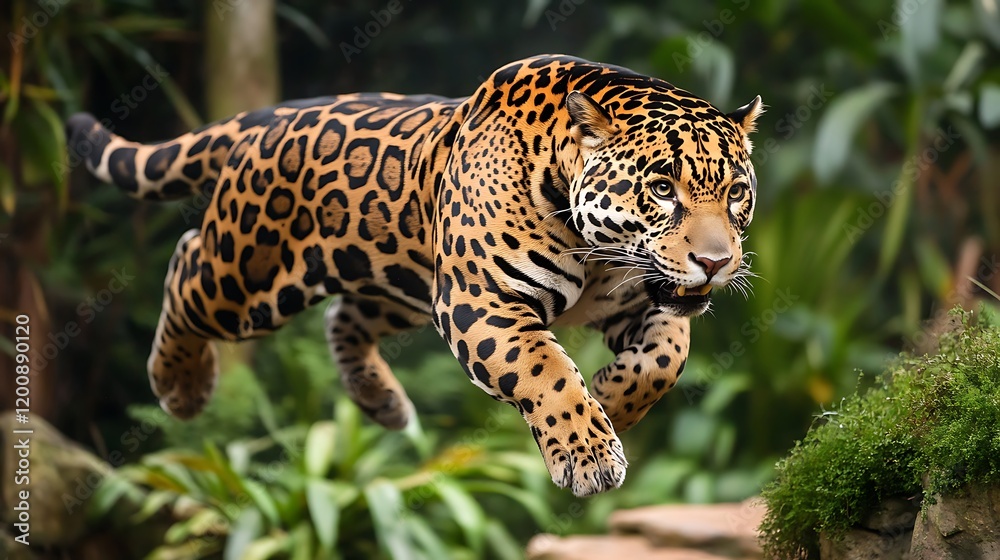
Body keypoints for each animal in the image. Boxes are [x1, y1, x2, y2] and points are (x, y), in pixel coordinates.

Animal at [66, 54, 762, 497]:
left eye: (735, 193)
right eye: (663, 189)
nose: (716, 261)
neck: (597, 251)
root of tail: (263, 119)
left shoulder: (635, 299)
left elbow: (667, 358)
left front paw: (614, 402)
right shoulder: (483, 303)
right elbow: (546, 372)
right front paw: (587, 453)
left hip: (395, 275)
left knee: (345, 315)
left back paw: (383, 402)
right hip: (247, 277)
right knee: (186, 266)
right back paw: (180, 385)